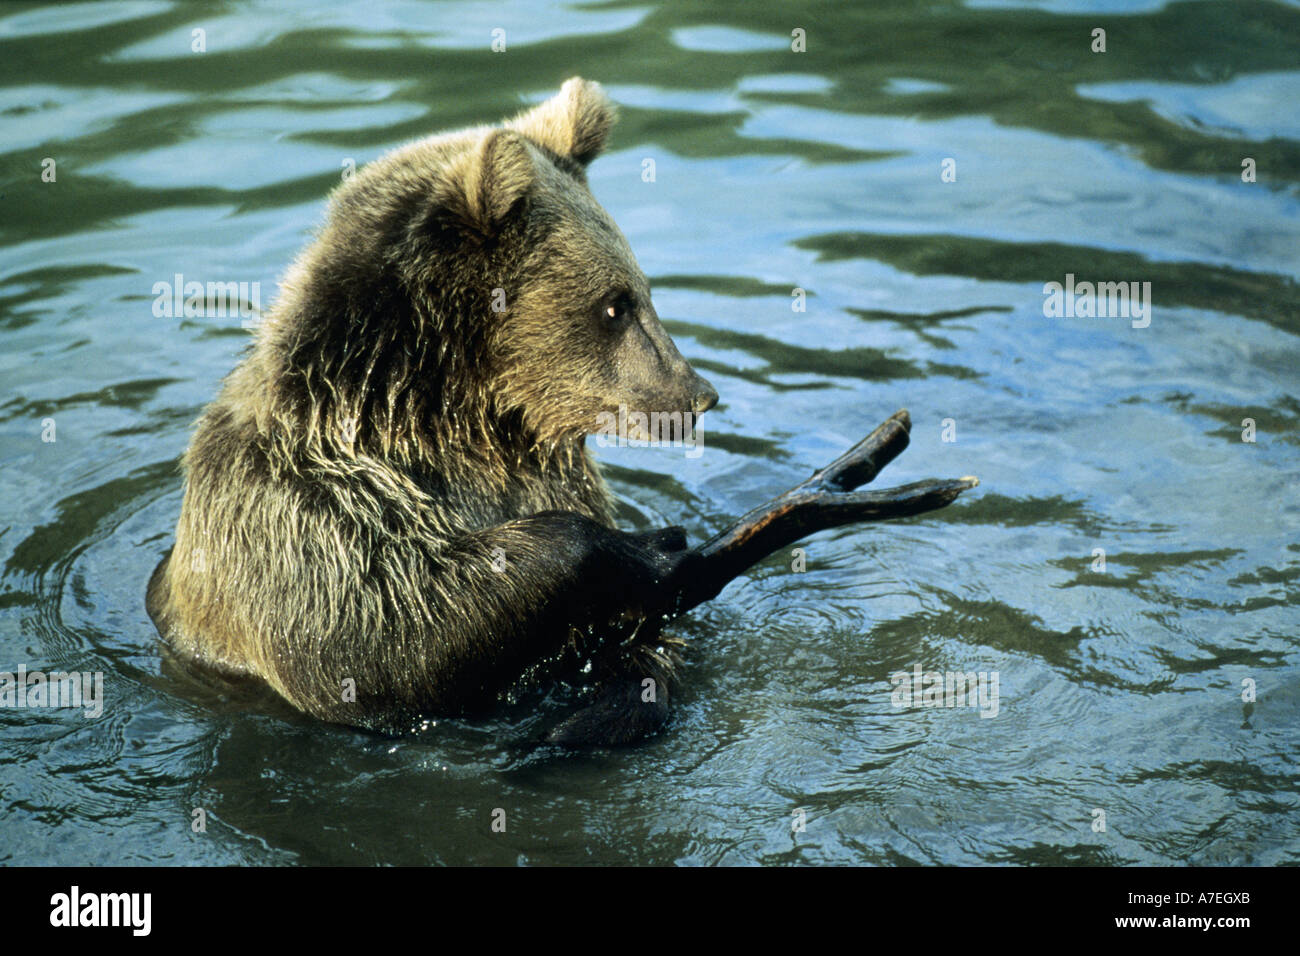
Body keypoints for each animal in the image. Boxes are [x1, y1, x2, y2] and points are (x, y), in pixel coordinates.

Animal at [146, 78, 720, 746]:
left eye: (640, 292)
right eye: (615, 306)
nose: (697, 393)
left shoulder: (543, 475)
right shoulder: (299, 504)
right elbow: (381, 639)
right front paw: (647, 551)